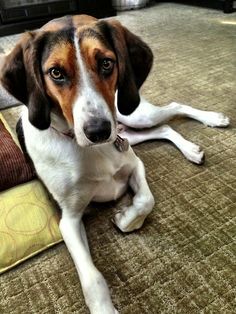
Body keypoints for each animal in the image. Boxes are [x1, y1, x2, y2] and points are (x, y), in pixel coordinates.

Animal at [0, 14, 229, 314]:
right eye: (56, 73)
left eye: (106, 63)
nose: (98, 130)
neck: (90, 150)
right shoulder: (69, 220)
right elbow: (93, 279)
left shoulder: (134, 165)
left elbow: (145, 200)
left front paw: (125, 218)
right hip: (130, 131)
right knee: (165, 128)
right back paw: (190, 148)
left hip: (133, 115)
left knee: (173, 108)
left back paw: (212, 120)